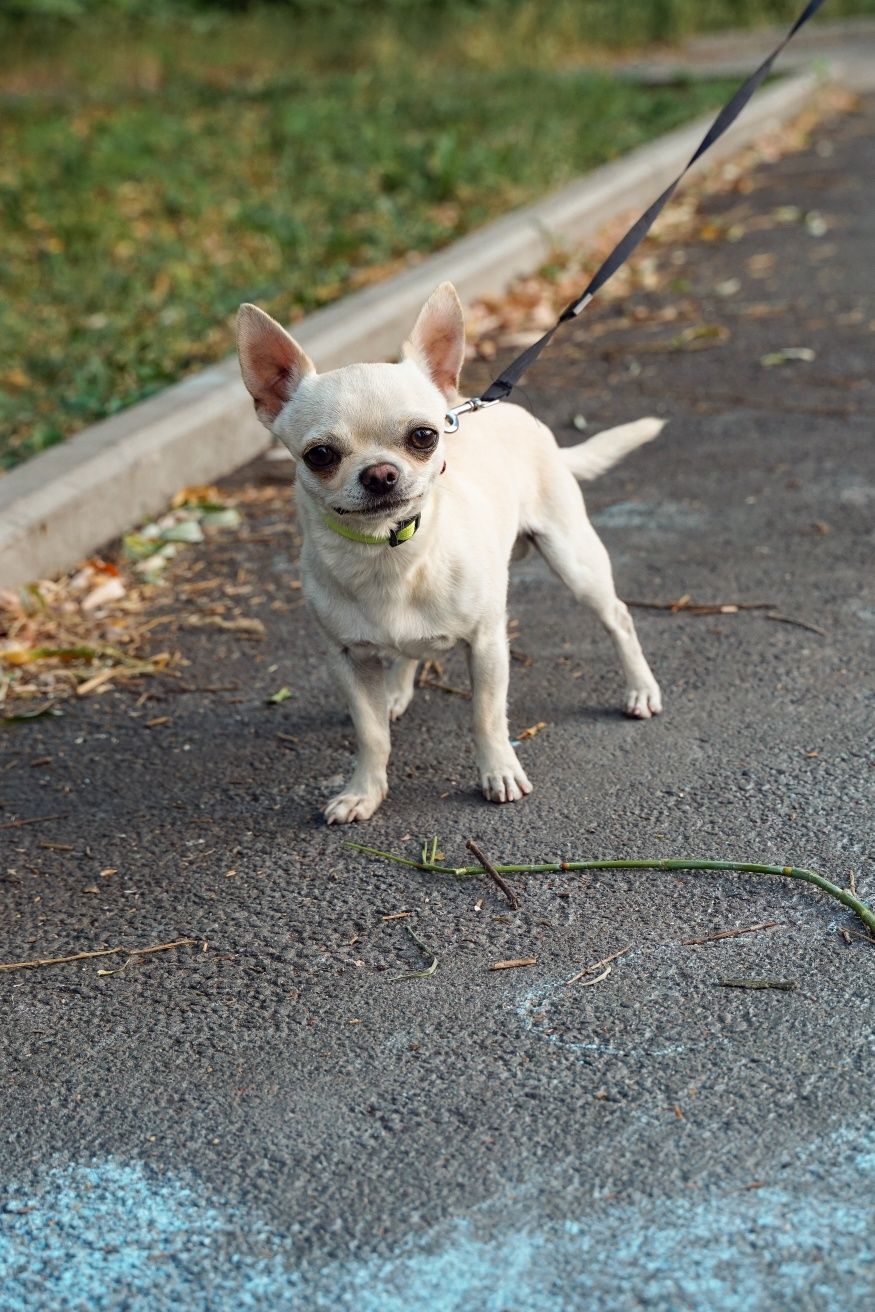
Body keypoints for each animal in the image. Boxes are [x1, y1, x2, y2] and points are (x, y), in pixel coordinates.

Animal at [236, 283, 661, 823]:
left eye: (424, 436)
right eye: (320, 455)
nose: (380, 473)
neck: (390, 558)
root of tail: (497, 406)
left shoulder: (487, 644)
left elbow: (486, 715)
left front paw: (499, 772)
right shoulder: (347, 659)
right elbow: (371, 735)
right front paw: (364, 791)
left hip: (574, 560)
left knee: (618, 618)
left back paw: (641, 689)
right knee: (404, 658)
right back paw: (396, 690)